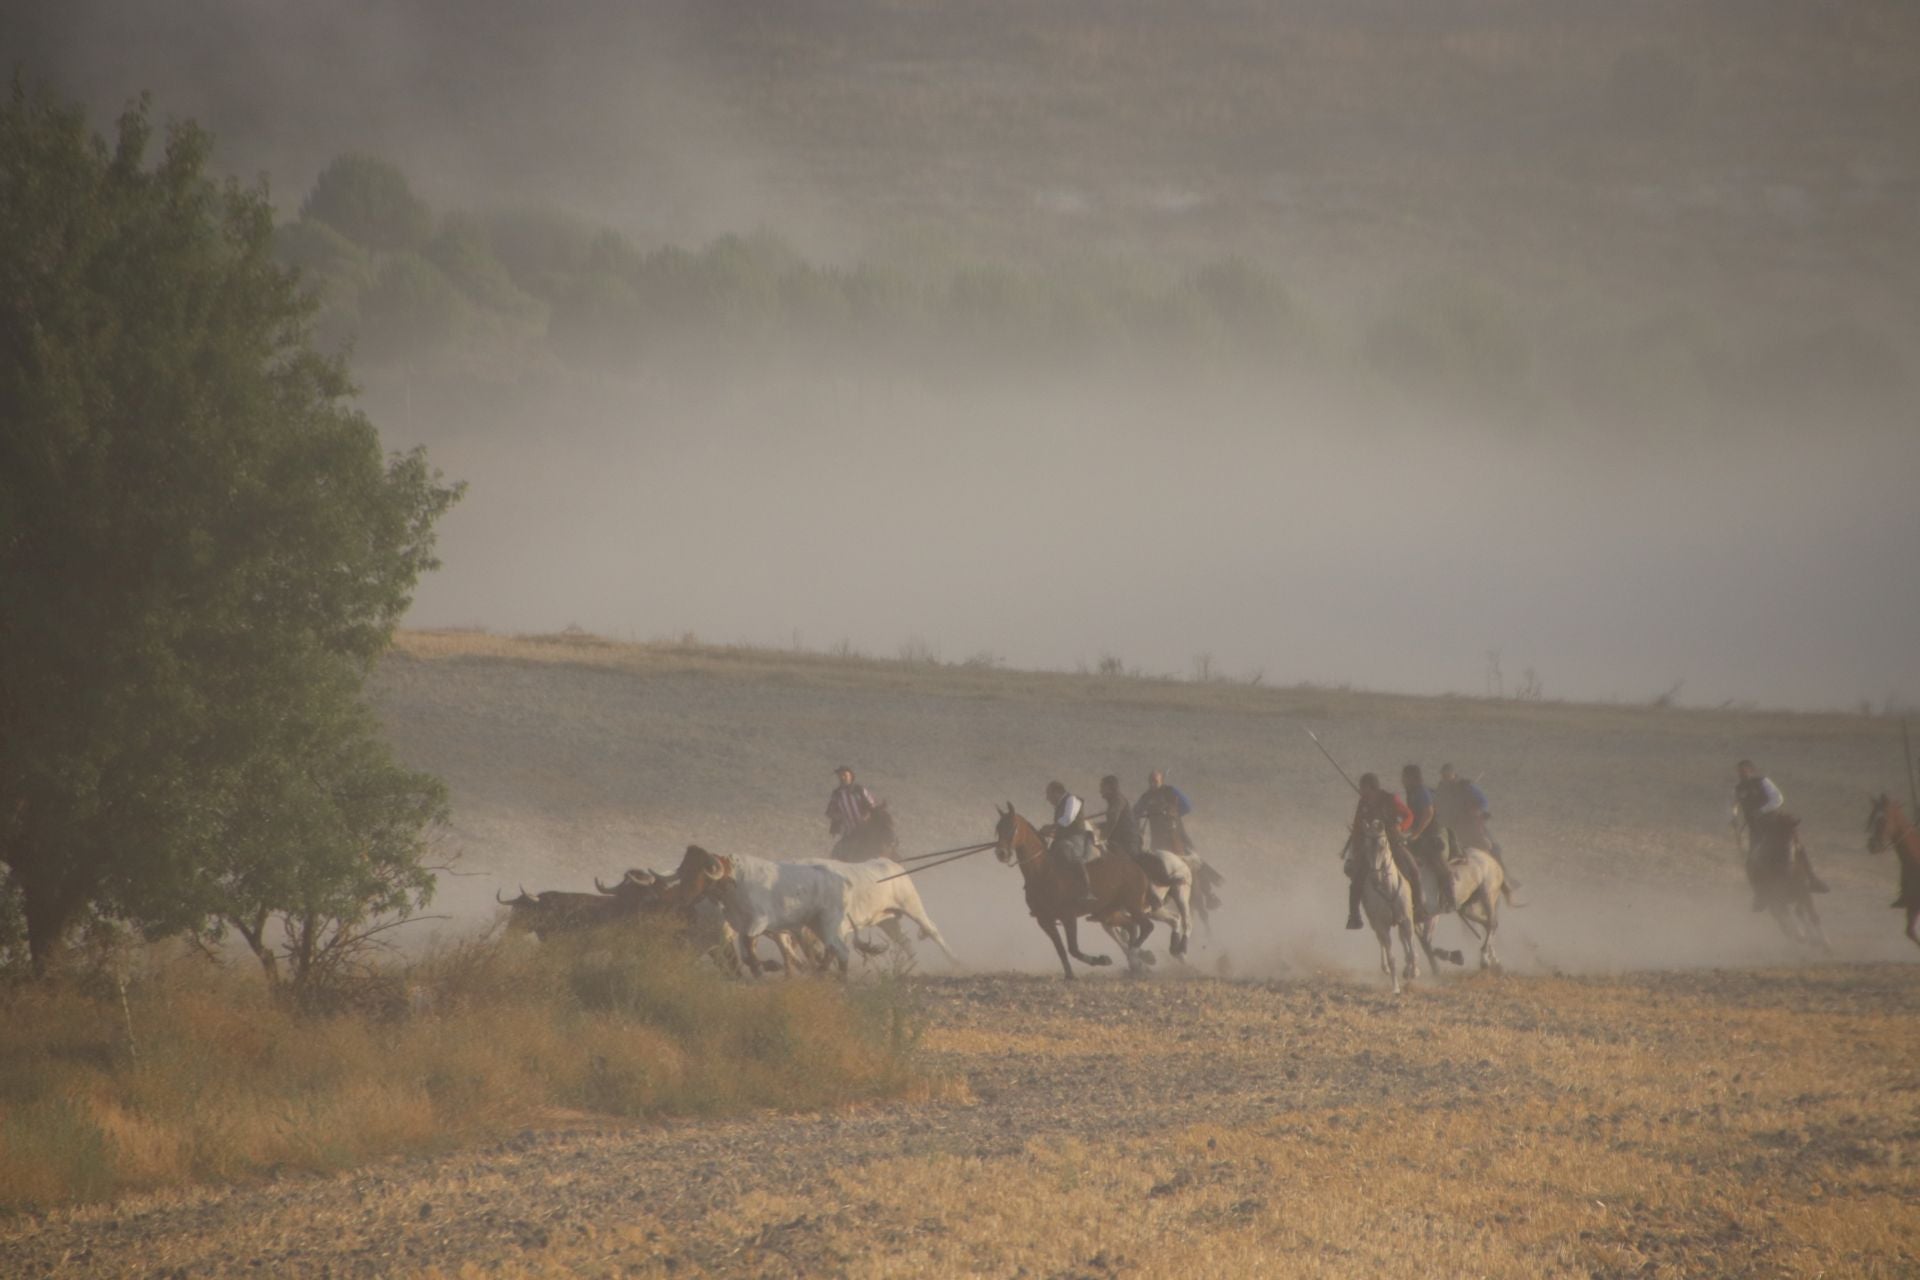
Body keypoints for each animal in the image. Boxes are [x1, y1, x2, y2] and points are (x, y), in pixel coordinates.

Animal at [990, 802, 1182, 982]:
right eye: (998, 828)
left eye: (1013, 827)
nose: (1001, 853)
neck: (1044, 872)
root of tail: (1135, 866)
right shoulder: (1045, 921)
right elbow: (1061, 949)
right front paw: (1069, 974)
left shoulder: (1068, 917)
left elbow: (1073, 949)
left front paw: (1102, 960)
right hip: (1107, 913)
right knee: (1131, 925)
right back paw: (1137, 962)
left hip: (1133, 905)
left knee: (1146, 926)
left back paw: (1137, 955)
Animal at [1351, 825, 1428, 997]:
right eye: (1366, 846)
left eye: (1383, 845)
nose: (1375, 876)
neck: (1387, 887)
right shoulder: (1382, 925)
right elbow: (1391, 956)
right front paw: (1396, 987)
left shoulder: (1406, 919)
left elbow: (1411, 951)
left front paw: (1414, 972)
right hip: (1375, 924)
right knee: (1382, 942)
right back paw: (1386, 967)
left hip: (1403, 921)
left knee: (1405, 941)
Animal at [1413, 832, 1512, 971]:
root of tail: (1492, 861)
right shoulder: (1414, 920)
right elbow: (1425, 944)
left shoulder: (1432, 914)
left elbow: (1426, 941)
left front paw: (1454, 957)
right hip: (1469, 905)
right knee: (1487, 923)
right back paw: (1494, 962)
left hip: (1488, 896)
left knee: (1491, 923)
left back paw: (1485, 961)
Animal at [1758, 809, 1827, 951]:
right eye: (1778, 837)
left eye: (1795, 837)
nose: (1790, 860)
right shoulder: (1777, 897)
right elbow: (1787, 916)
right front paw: (1801, 935)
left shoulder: (1804, 892)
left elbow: (1812, 915)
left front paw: (1824, 944)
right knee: (1784, 921)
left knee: (1799, 913)